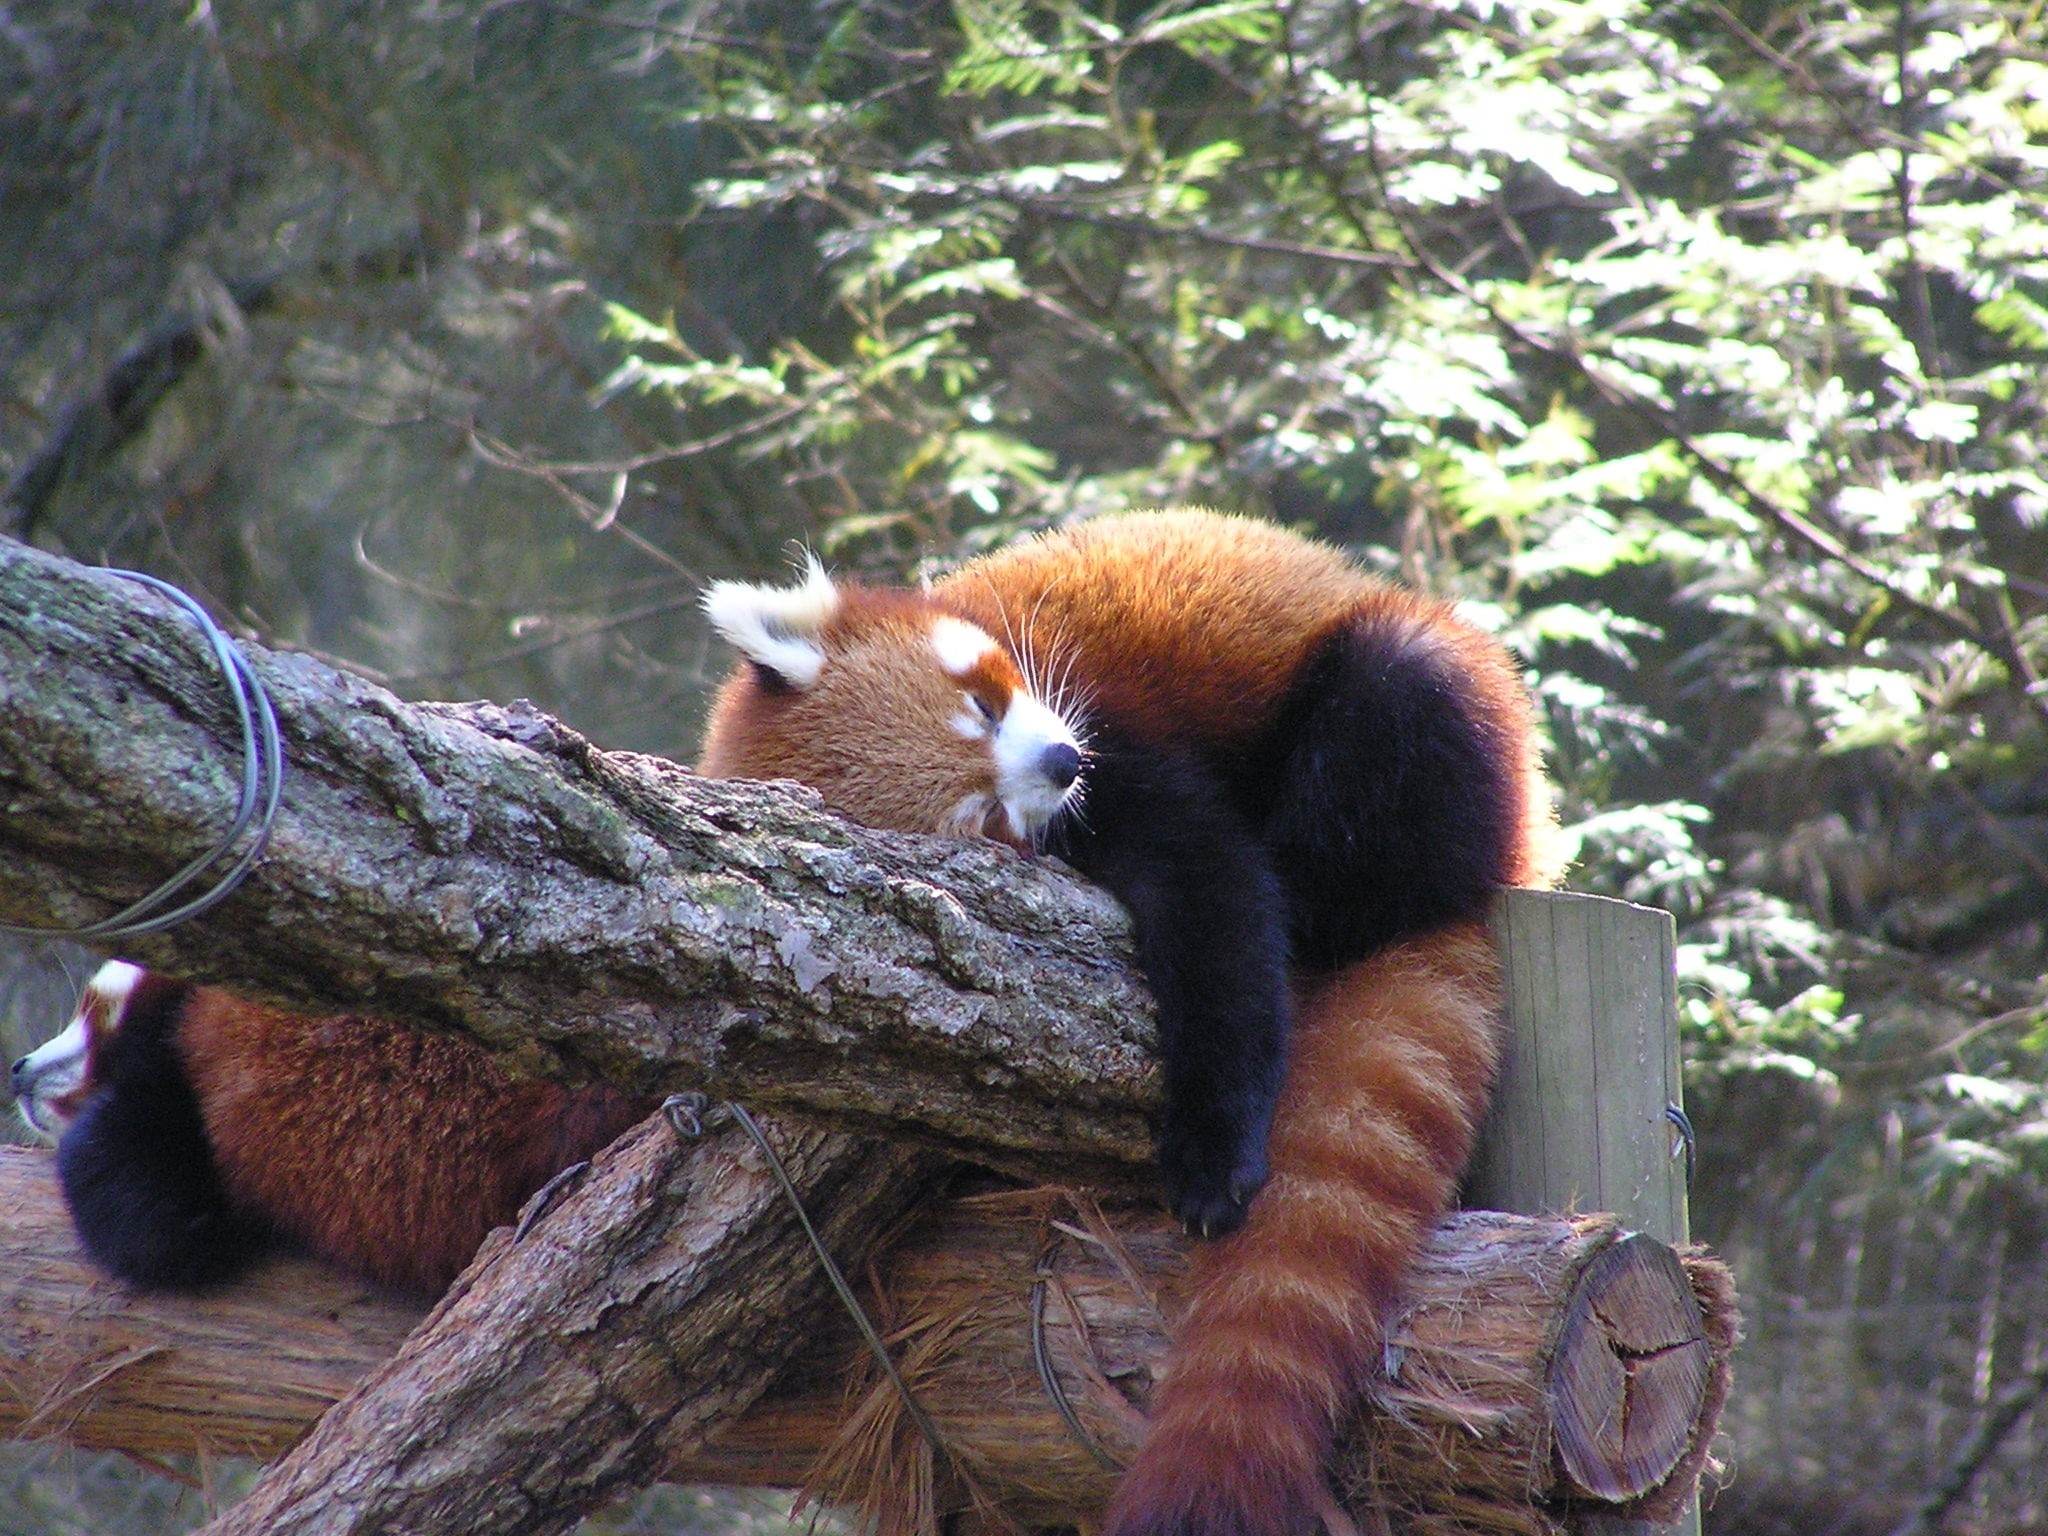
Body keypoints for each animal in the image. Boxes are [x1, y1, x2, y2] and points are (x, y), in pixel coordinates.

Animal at [698, 509, 1559, 1536]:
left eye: (985, 703)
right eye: (982, 813)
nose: (1062, 764)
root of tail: (1517, 861)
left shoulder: (1118, 729)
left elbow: (1218, 906)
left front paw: (1214, 1155)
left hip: (1434, 703)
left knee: (1394, 708)